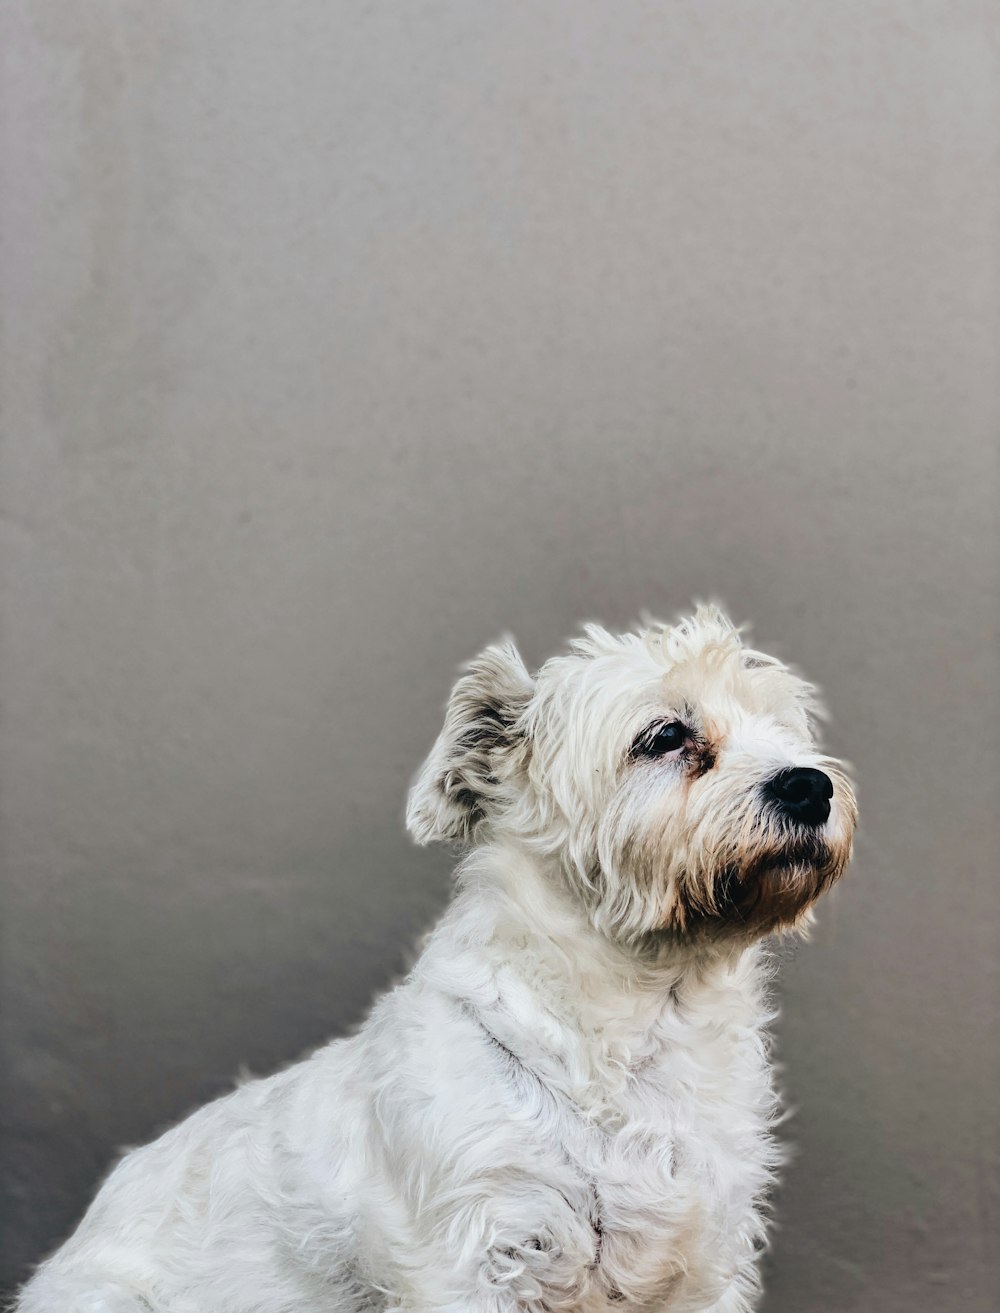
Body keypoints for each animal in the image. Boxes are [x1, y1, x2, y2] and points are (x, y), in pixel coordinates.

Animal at [15, 606, 855, 1313]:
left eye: (783, 730)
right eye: (667, 735)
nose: (810, 785)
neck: (635, 1028)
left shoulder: (703, 1261)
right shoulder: (472, 1252)